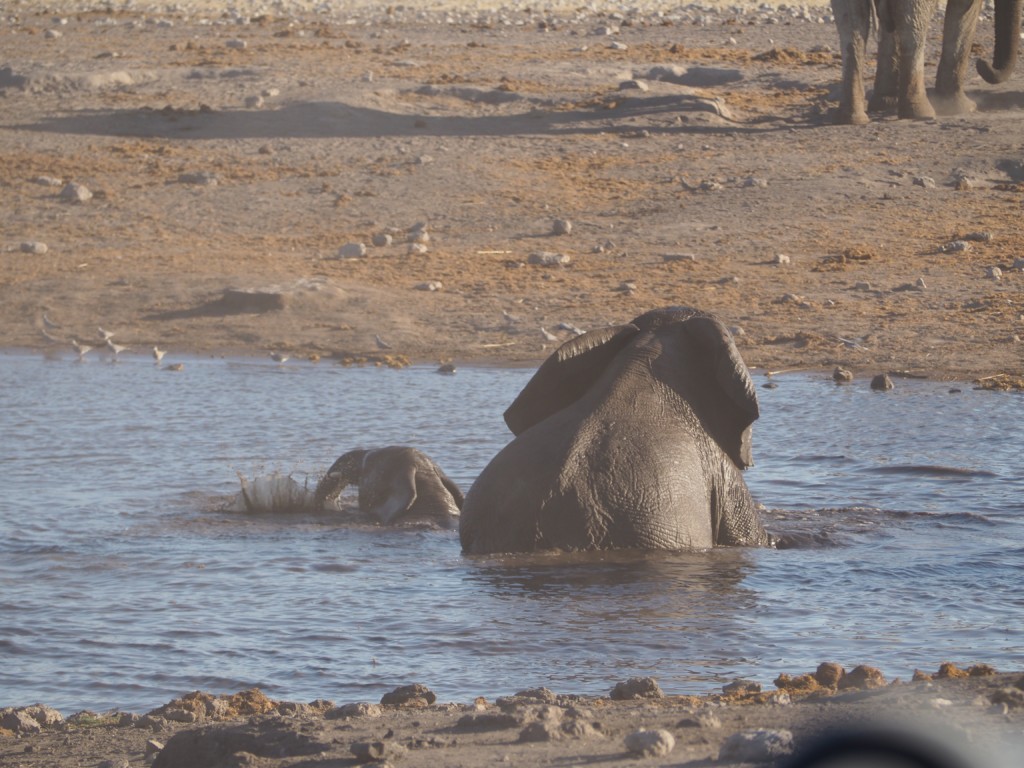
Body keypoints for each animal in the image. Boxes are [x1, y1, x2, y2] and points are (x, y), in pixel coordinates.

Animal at [831, 0, 983, 123]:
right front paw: (964, 108)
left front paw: (886, 103)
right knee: (911, 25)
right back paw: (920, 114)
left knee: (851, 24)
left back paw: (852, 118)